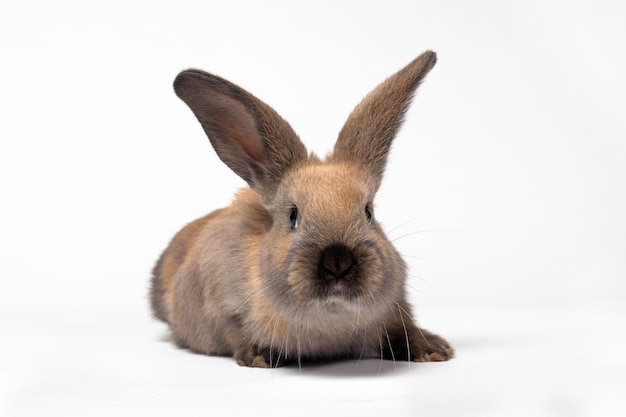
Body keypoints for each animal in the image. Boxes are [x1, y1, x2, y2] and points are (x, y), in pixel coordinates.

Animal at [151, 50, 454, 366]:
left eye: (369, 213)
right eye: (293, 216)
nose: (338, 260)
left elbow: (400, 327)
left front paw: (433, 349)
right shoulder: (219, 302)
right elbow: (234, 330)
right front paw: (259, 354)